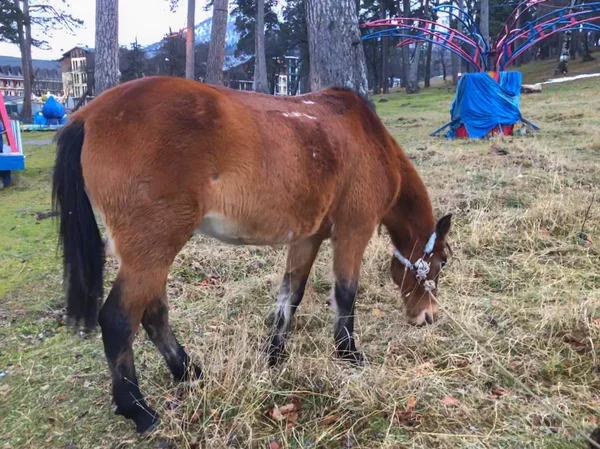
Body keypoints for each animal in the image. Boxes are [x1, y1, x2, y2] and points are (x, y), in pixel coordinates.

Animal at [51, 75, 452, 432]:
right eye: (441, 262)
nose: (428, 316)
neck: (366, 138)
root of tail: (87, 115)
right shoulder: (353, 231)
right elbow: (345, 293)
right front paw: (348, 353)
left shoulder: (307, 237)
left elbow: (291, 293)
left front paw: (274, 353)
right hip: (152, 248)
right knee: (118, 321)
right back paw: (138, 409)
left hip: (148, 253)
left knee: (154, 315)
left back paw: (188, 372)